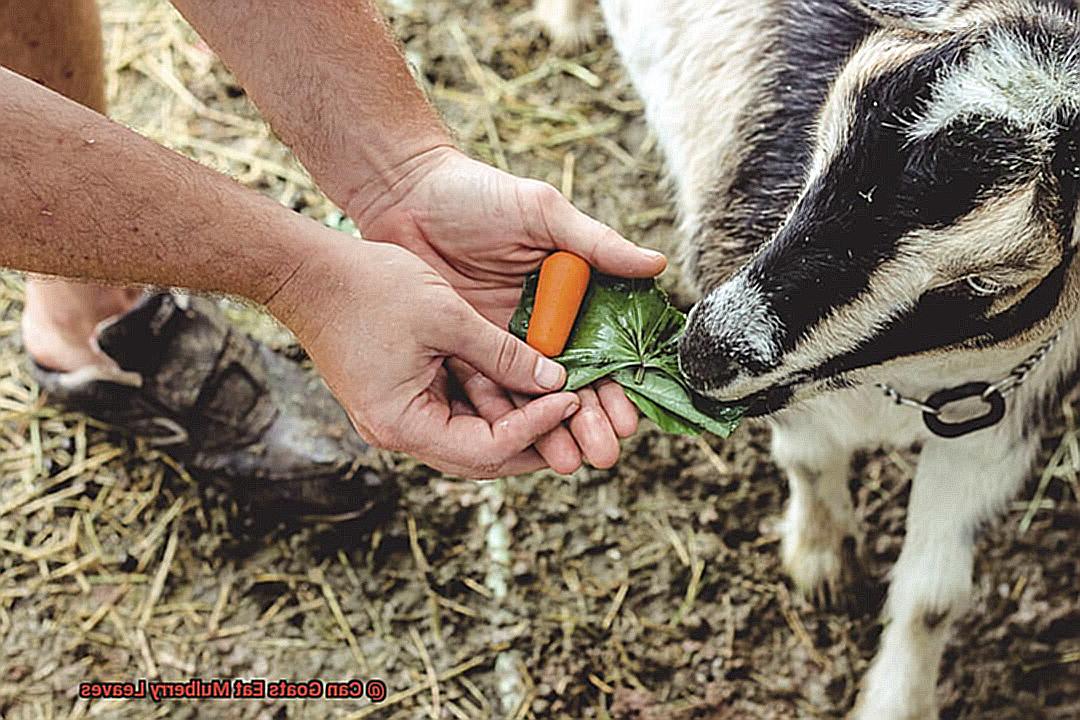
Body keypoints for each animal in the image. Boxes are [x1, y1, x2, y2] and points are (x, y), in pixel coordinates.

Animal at [537, 1, 1080, 720]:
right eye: (830, 137)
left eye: (981, 284)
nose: (708, 348)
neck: (903, 380)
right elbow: (811, 458)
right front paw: (822, 562)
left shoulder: (1004, 416)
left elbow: (934, 596)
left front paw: (896, 701)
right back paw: (565, 23)